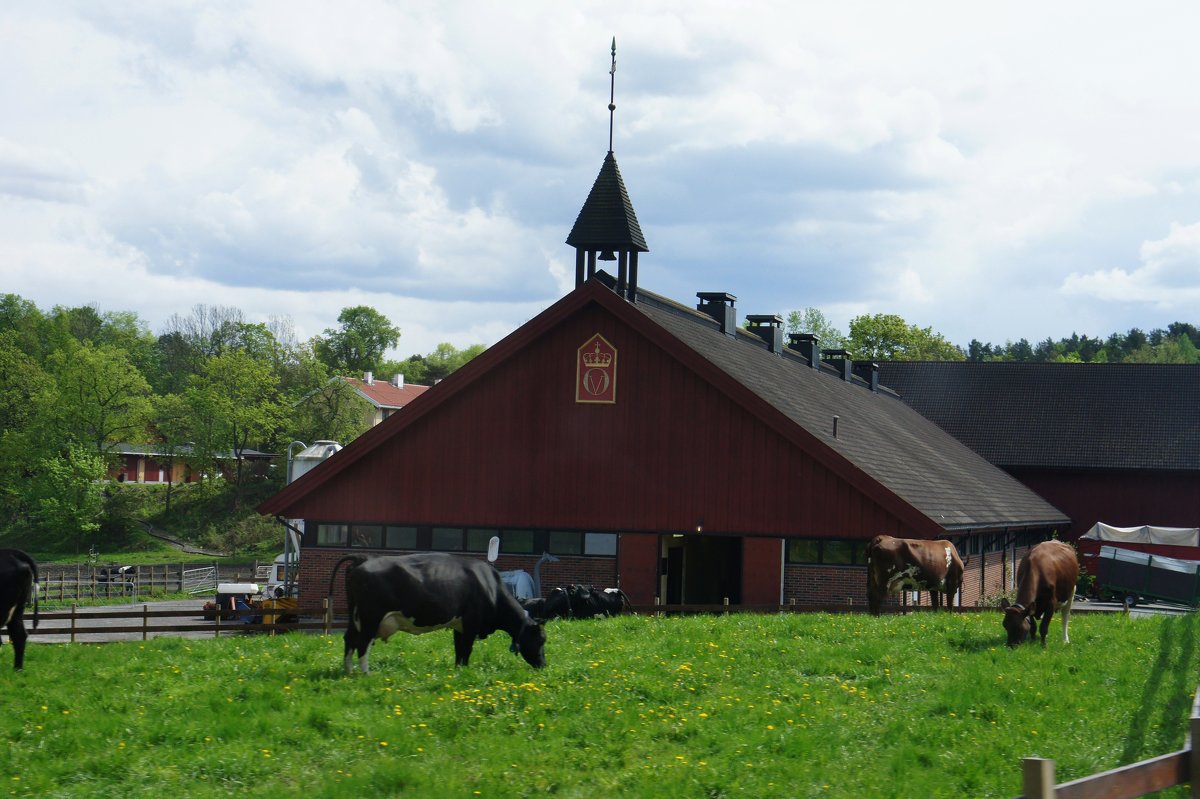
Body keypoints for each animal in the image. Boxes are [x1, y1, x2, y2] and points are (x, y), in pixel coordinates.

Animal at [333, 551, 549, 676]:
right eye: (541, 639)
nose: (544, 666)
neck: (491, 587)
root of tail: (364, 559)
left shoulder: (459, 625)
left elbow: (459, 650)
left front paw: (458, 670)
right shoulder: (471, 623)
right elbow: (466, 649)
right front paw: (464, 672)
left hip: (355, 617)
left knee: (349, 639)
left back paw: (348, 672)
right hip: (371, 617)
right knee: (363, 643)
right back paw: (366, 674)